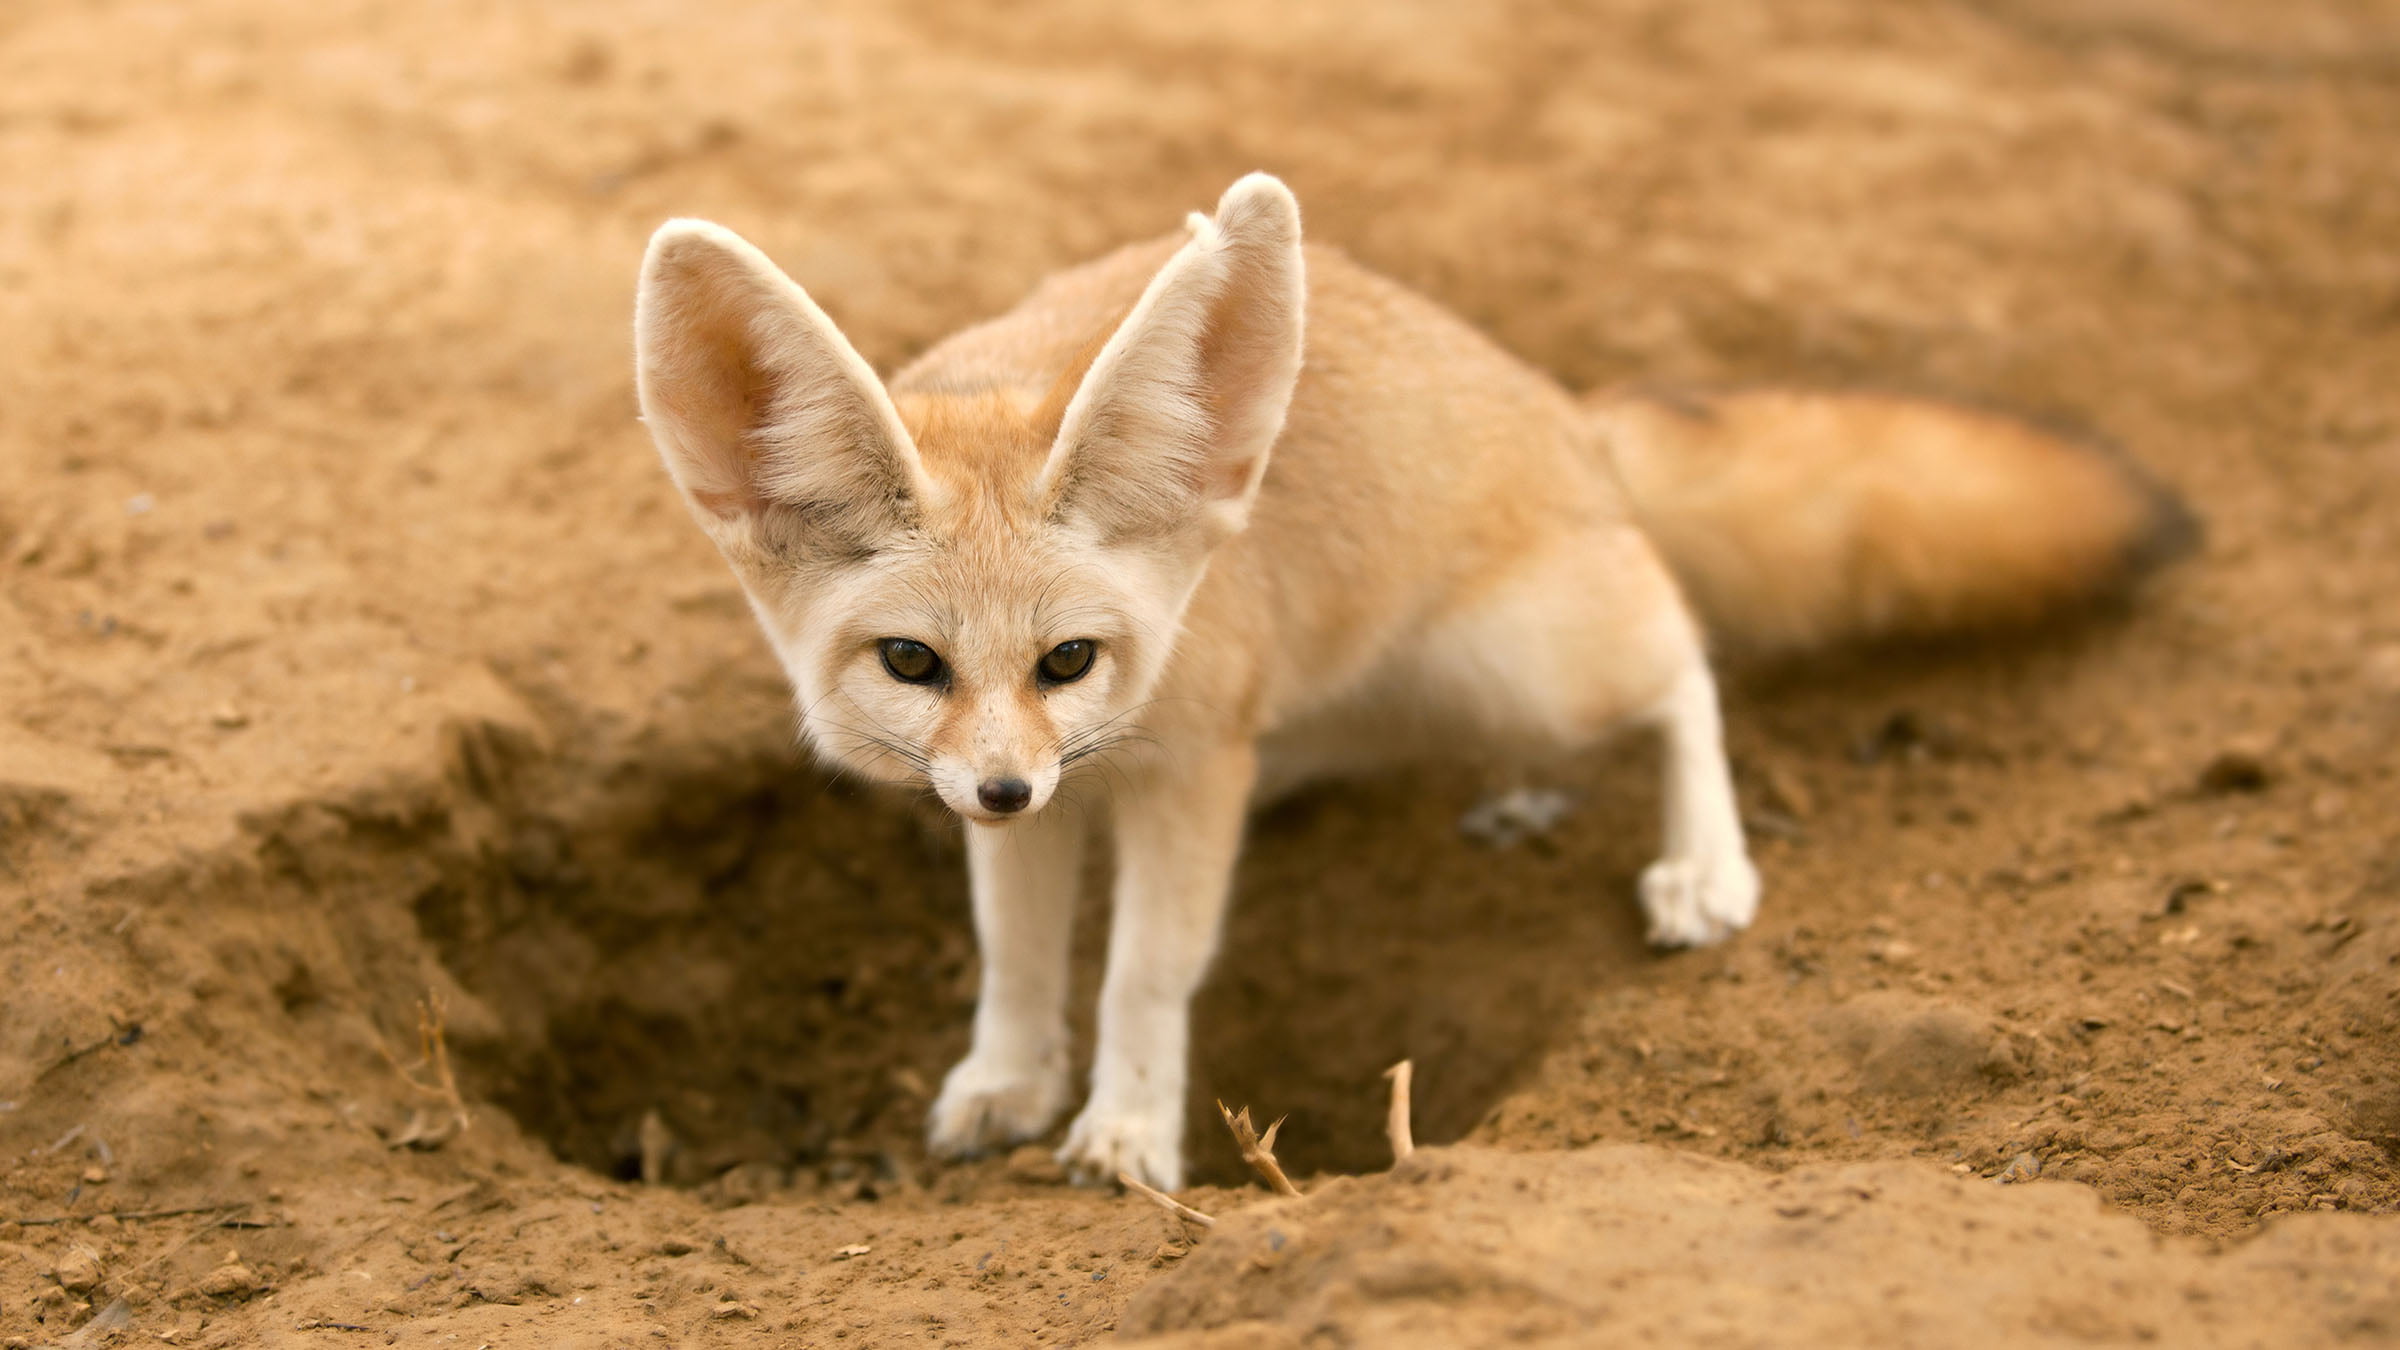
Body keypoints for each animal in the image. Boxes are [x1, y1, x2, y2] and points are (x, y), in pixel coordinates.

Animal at [630, 174, 2191, 1190]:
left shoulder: (1188, 771)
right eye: (913, 661)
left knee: (1683, 655)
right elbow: (1016, 953)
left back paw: (1703, 862)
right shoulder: (1049, 799)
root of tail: (1570, 417)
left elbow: (1145, 969)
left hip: (1529, 659)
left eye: (1069, 658)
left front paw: (1128, 1130)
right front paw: (1009, 1081)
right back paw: (1522, 798)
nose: (1007, 786)